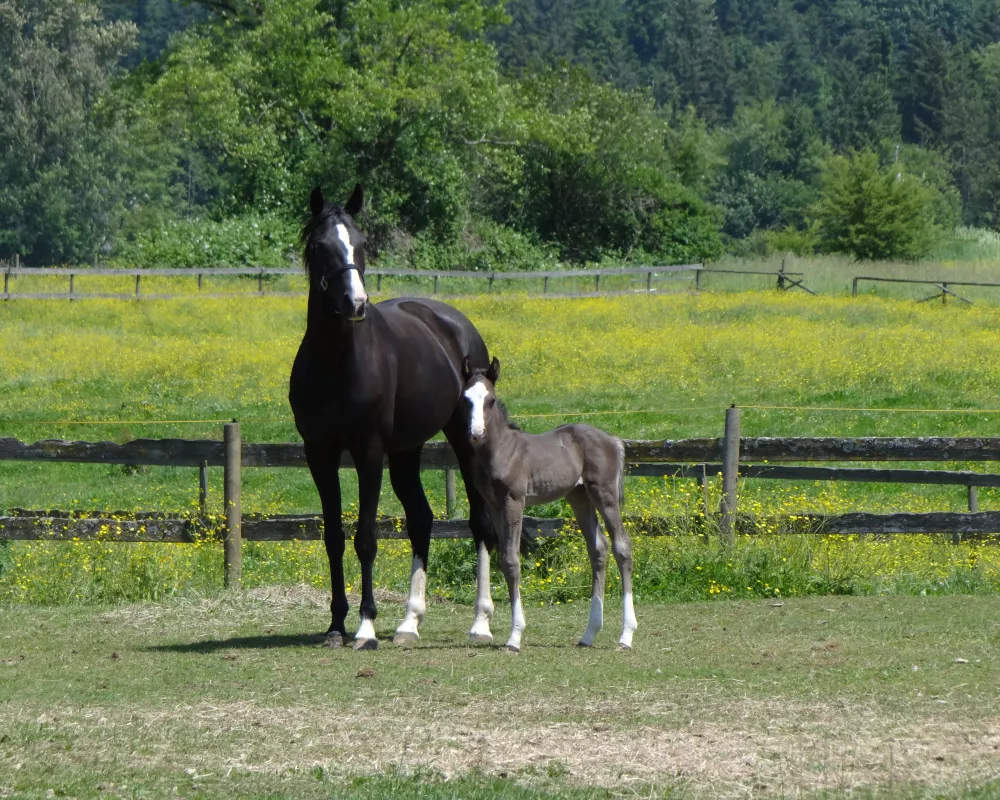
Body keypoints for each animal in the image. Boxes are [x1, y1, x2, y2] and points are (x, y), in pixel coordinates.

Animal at [290, 188, 500, 648]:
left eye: (361, 242)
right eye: (320, 247)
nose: (355, 304)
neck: (337, 364)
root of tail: (456, 324)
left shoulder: (369, 451)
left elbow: (366, 537)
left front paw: (366, 626)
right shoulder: (319, 452)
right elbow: (334, 537)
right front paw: (336, 625)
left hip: (464, 442)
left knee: (480, 522)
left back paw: (480, 622)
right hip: (406, 451)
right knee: (421, 520)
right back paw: (409, 622)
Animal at [462, 360, 640, 652]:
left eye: (491, 400)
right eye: (466, 399)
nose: (476, 434)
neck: (502, 450)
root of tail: (612, 440)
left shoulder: (514, 501)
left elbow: (512, 560)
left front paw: (515, 637)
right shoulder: (493, 505)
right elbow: (504, 559)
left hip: (604, 493)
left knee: (621, 547)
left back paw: (626, 636)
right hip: (578, 497)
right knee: (598, 548)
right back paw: (589, 634)